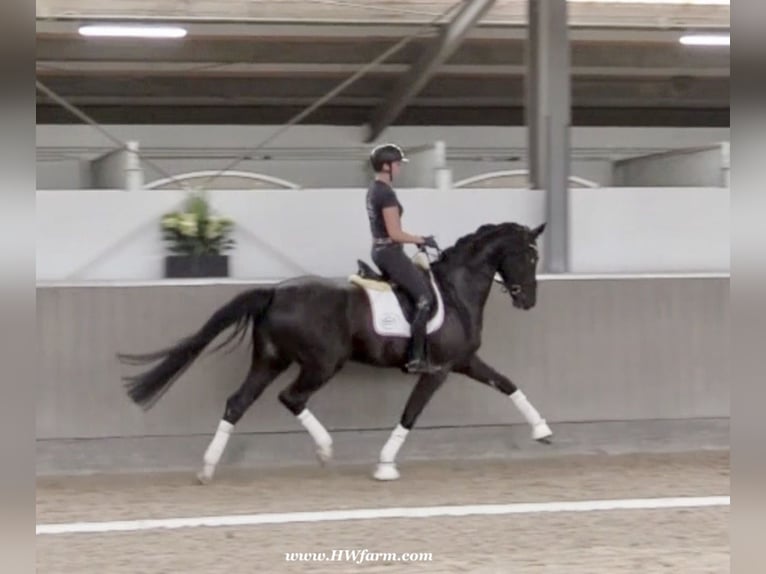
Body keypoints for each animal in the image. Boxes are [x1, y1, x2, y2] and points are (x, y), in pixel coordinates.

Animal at [120, 223, 552, 484]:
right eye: (530, 256)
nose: (528, 300)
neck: (455, 291)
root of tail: (276, 292)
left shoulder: (463, 362)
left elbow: (507, 384)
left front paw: (543, 431)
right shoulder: (438, 370)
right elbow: (410, 415)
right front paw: (385, 465)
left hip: (270, 360)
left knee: (237, 403)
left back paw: (208, 468)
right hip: (322, 363)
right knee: (291, 397)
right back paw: (325, 450)